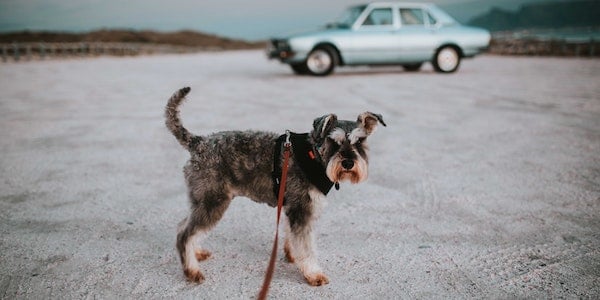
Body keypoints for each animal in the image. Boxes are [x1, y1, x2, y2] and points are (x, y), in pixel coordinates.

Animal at [165, 86, 384, 286]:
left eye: (360, 141)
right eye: (334, 142)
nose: (348, 163)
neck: (314, 155)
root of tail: (199, 143)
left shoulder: (291, 207)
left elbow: (292, 237)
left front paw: (292, 256)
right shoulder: (302, 211)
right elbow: (307, 246)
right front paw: (314, 274)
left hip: (202, 200)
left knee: (184, 225)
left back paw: (197, 253)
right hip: (213, 202)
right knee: (185, 234)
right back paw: (192, 271)